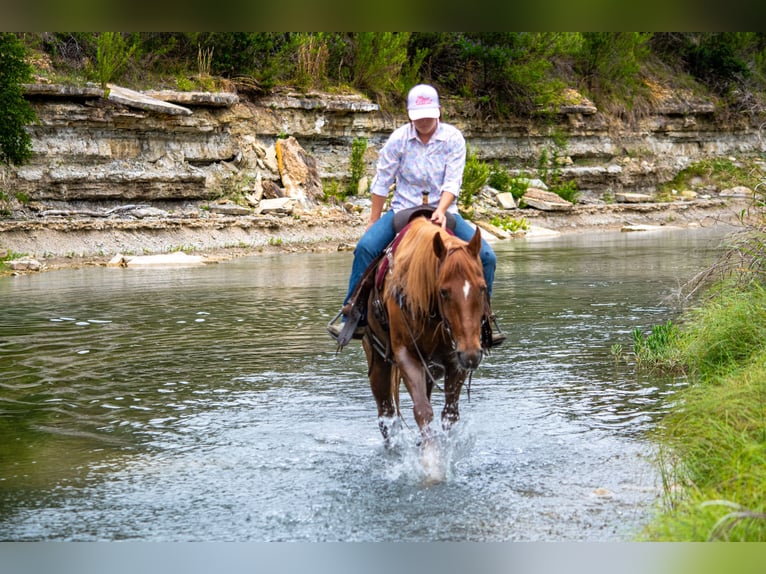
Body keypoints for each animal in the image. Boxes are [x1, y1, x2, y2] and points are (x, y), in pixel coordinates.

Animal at [361, 216, 489, 453]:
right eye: (444, 292)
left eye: (483, 288)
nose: (472, 355)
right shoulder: (406, 355)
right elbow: (422, 410)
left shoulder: (455, 359)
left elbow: (450, 414)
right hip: (378, 362)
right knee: (386, 415)